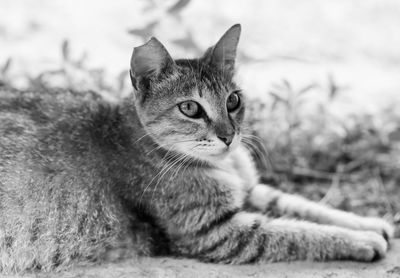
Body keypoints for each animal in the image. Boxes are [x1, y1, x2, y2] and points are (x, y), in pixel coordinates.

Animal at [0, 24, 394, 274]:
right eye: (190, 108)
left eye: (233, 100)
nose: (228, 136)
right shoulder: (214, 233)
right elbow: (296, 232)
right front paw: (362, 239)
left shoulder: (252, 189)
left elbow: (303, 205)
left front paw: (368, 222)